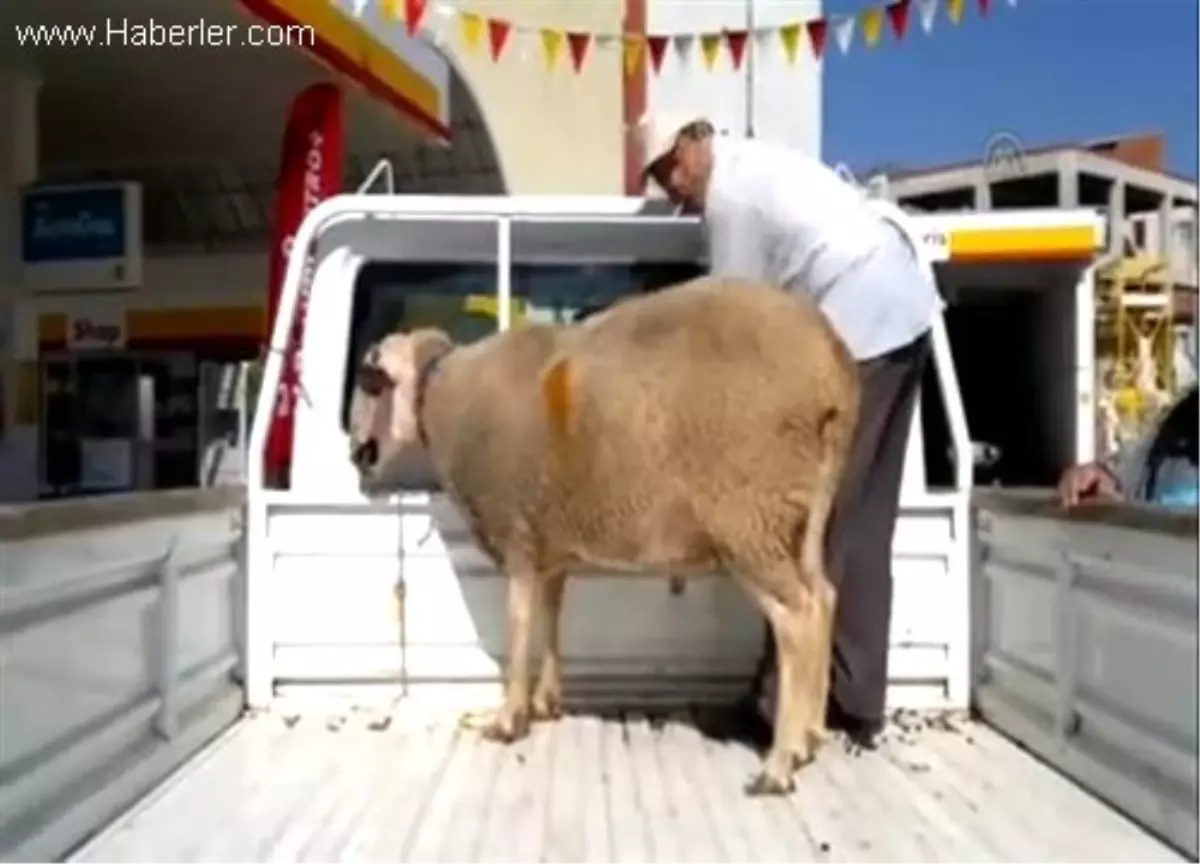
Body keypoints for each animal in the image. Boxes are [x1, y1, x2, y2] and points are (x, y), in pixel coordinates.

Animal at [348, 278, 864, 796]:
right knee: (825, 597)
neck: (443, 397)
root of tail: (830, 358)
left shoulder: (517, 536)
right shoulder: (550, 547)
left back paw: (780, 764)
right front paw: (546, 701)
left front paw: (509, 718)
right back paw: (810, 738)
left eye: (372, 381)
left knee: (797, 617)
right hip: (802, 510)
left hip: (750, 513)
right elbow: (551, 617)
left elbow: (519, 624)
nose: (357, 454)